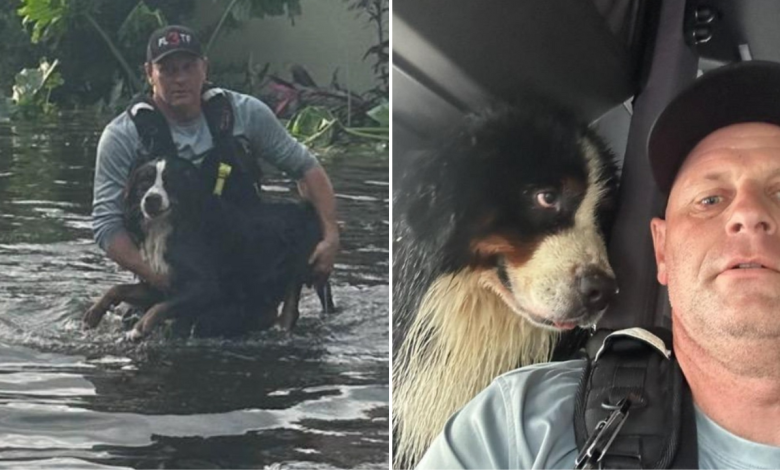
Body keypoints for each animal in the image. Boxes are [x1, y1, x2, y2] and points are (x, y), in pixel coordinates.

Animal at [84, 156, 334, 340]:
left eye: (169, 182)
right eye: (144, 182)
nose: (151, 199)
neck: (169, 225)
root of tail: (307, 208)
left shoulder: (206, 287)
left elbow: (161, 307)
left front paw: (139, 328)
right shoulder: (160, 281)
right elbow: (117, 289)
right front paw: (94, 314)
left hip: (296, 271)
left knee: (289, 311)